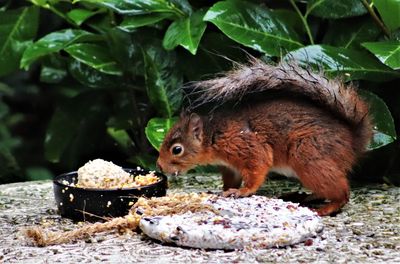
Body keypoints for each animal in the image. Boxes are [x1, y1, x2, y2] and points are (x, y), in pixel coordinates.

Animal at [155, 58, 372, 216]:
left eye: (177, 149)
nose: (159, 166)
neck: (214, 137)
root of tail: (353, 139)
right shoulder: (230, 167)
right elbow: (231, 180)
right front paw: (221, 191)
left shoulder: (248, 147)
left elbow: (257, 170)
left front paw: (242, 192)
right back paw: (306, 197)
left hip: (308, 157)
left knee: (342, 192)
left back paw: (325, 208)